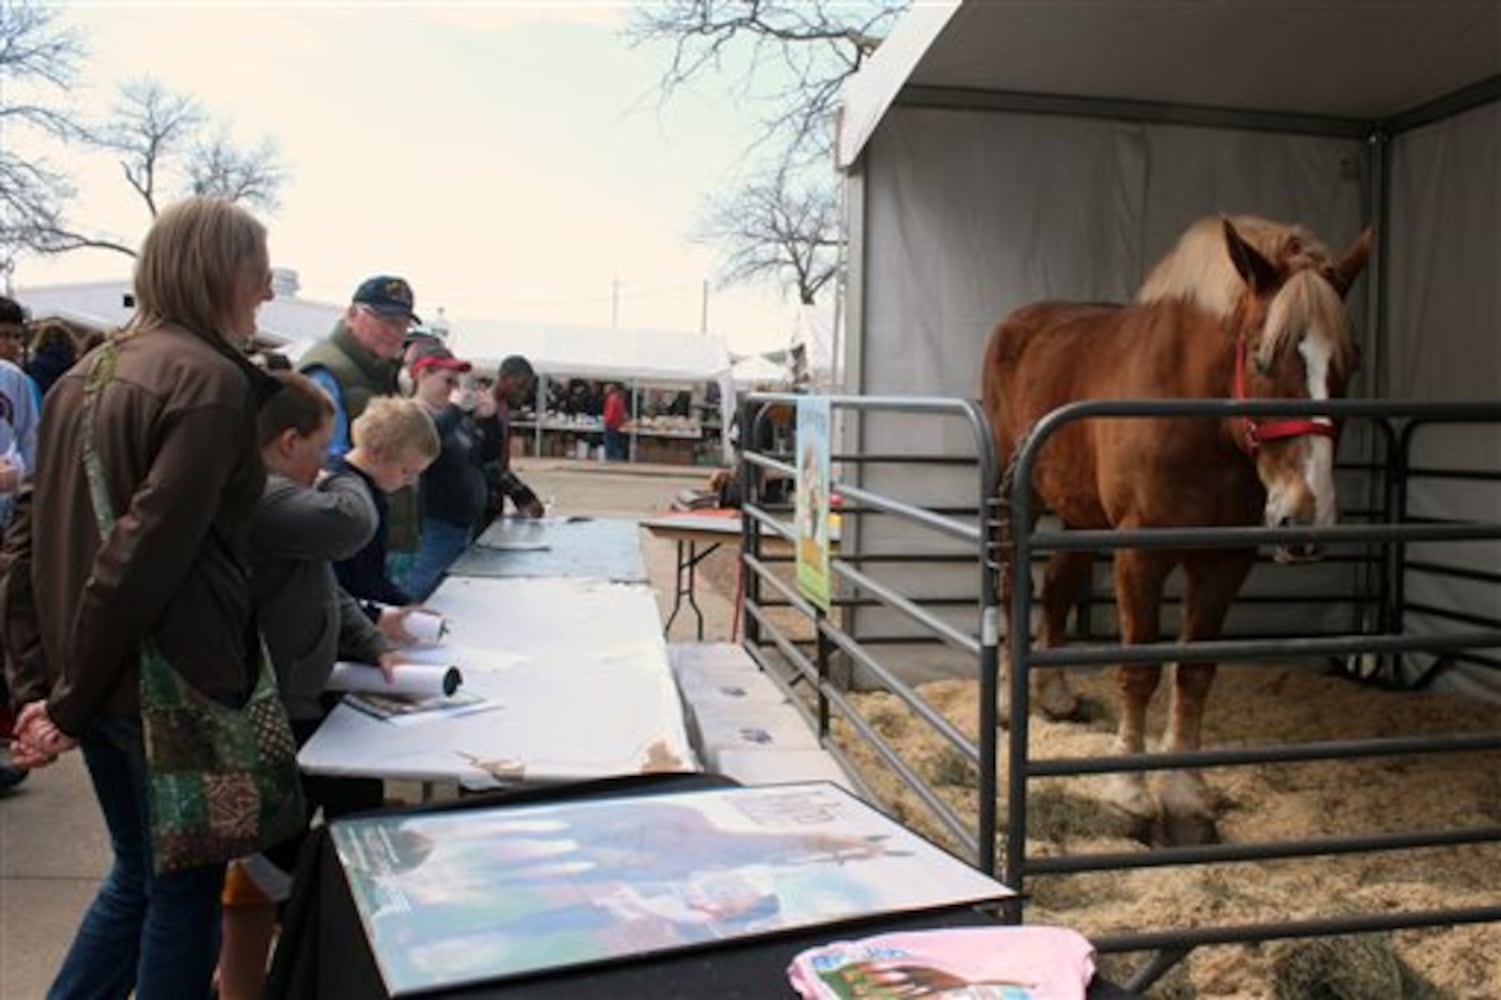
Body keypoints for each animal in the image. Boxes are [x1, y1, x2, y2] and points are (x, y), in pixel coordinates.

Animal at [984, 211, 1374, 840]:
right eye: (1262, 358)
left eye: (1350, 362)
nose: (1305, 516)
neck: (1196, 419)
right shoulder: (1141, 554)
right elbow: (1139, 670)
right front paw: (1128, 793)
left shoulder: (1222, 561)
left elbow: (1195, 671)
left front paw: (1186, 792)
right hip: (1013, 497)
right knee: (1009, 588)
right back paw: (1003, 699)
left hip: (1080, 512)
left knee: (1062, 581)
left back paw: (1054, 693)